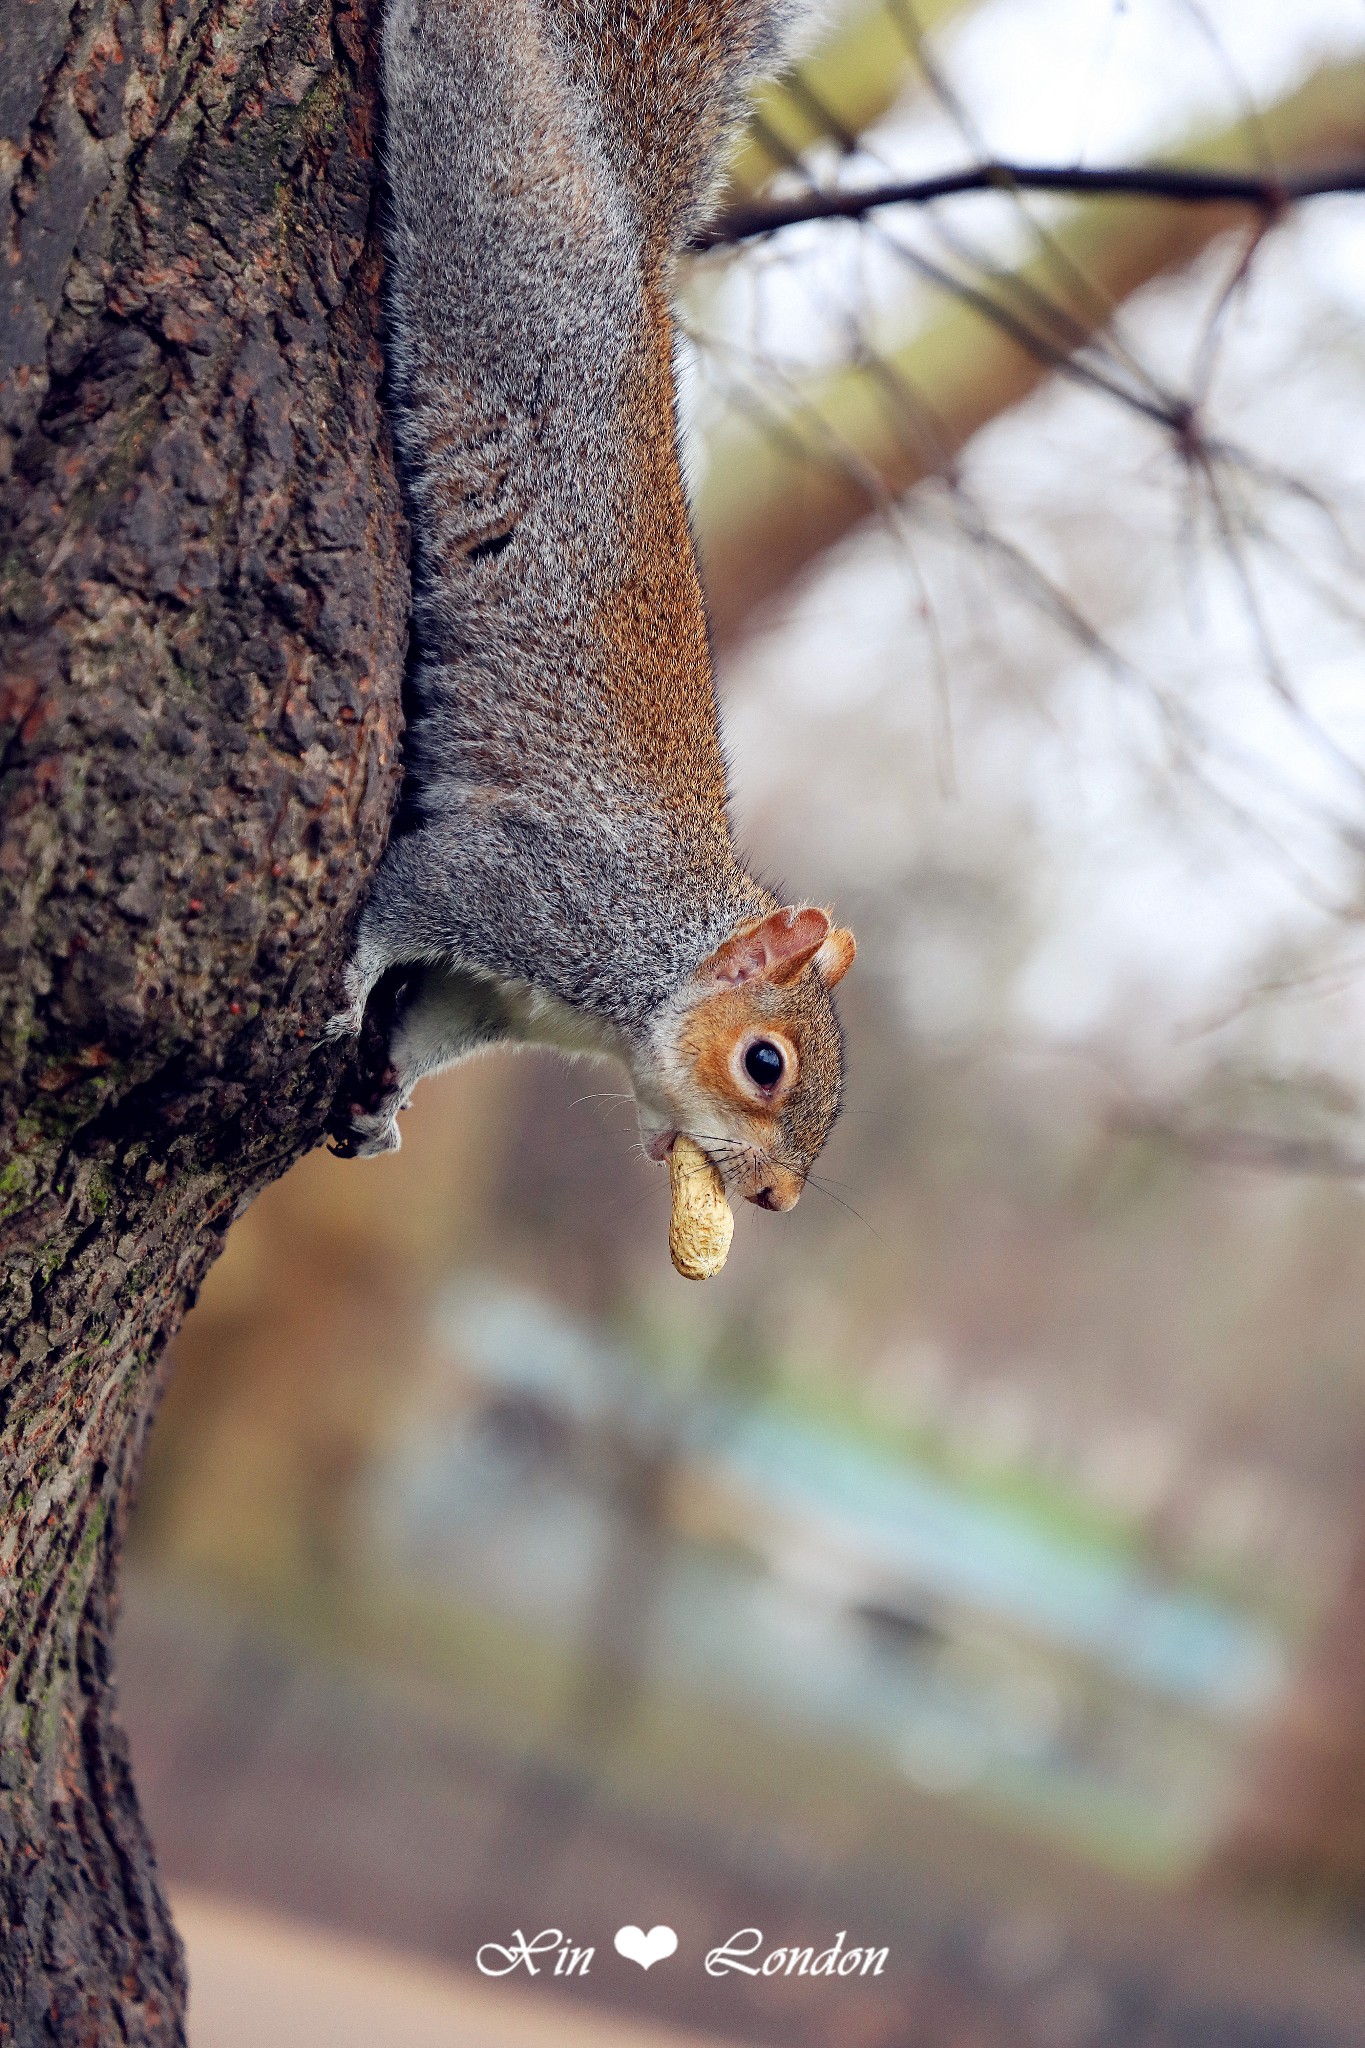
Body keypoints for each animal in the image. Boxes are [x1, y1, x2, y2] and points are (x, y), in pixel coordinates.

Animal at [329, 0, 855, 1212]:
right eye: (765, 1063)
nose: (776, 1199)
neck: (652, 971)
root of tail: (626, 233)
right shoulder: (543, 894)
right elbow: (412, 895)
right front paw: (353, 974)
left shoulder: (497, 995)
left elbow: (432, 1021)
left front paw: (387, 1100)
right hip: (492, 215)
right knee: (465, 69)